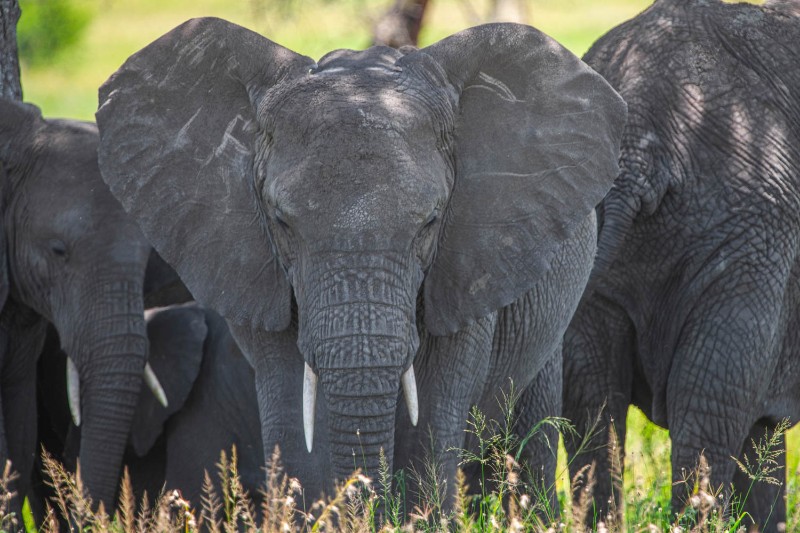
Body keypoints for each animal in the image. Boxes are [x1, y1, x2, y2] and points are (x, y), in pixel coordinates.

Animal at [96, 18, 626, 506]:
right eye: (282, 222)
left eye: (430, 223)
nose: (367, 497)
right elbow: (294, 418)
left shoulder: (466, 265)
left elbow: (429, 423)